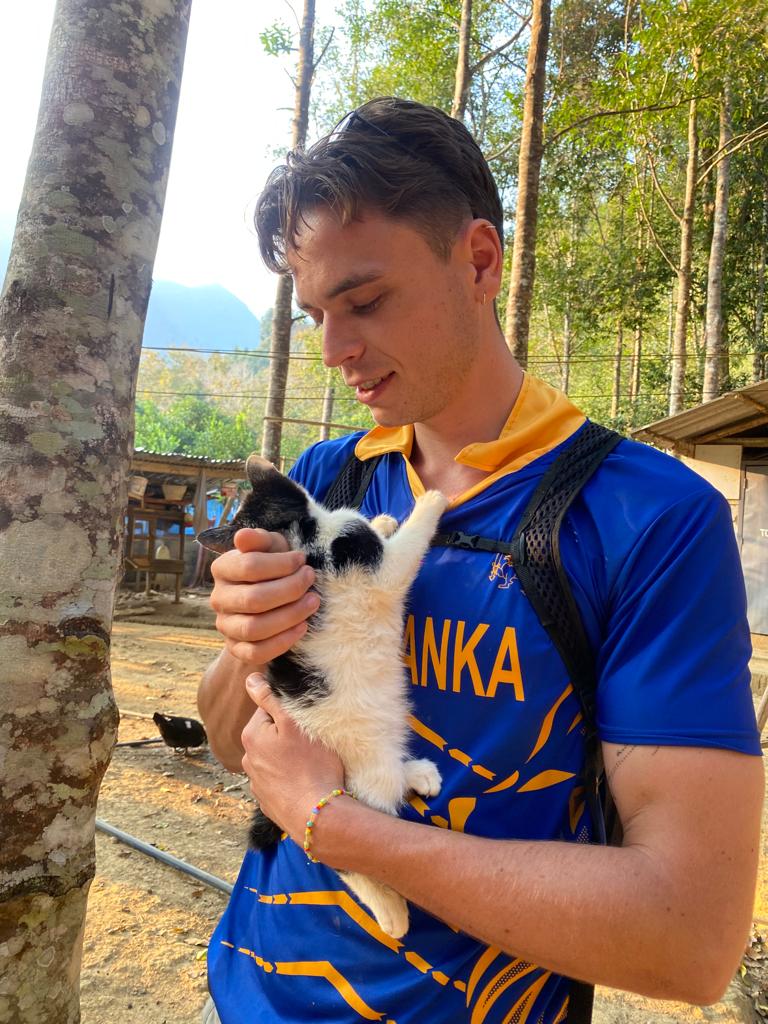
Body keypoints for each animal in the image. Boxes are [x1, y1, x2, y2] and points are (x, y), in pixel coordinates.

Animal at [196, 454, 450, 937]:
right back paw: (392, 915)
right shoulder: (377, 574)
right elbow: (405, 551)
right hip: (365, 775)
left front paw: (384, 519)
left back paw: (419, 773)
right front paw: (429, 502)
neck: (312, 542)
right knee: (351, 854)